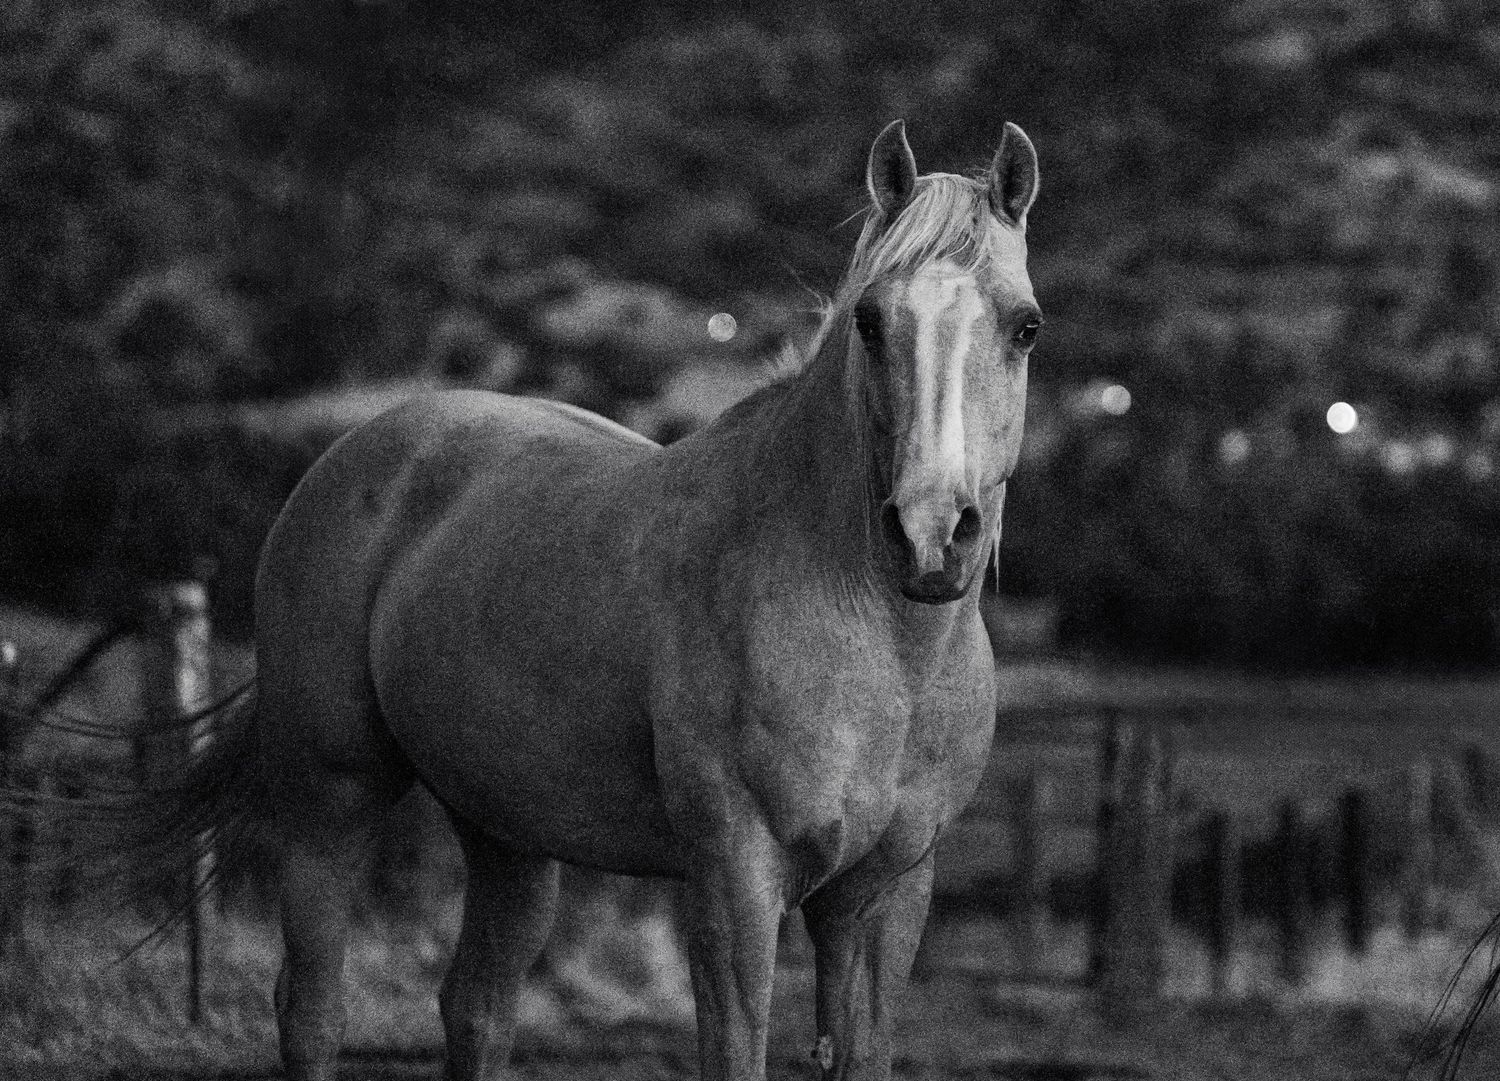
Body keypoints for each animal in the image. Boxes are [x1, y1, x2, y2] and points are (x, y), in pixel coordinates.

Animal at [113, 118, 1041, 1081]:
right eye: (869, 319)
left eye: (1025, 327)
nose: (932, 533)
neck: (880, 649)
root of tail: (353, 452)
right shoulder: (735, 879)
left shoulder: (887, 895)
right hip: (330, 800)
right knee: (313, 1009)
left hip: (507, 834)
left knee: (476, 1007)